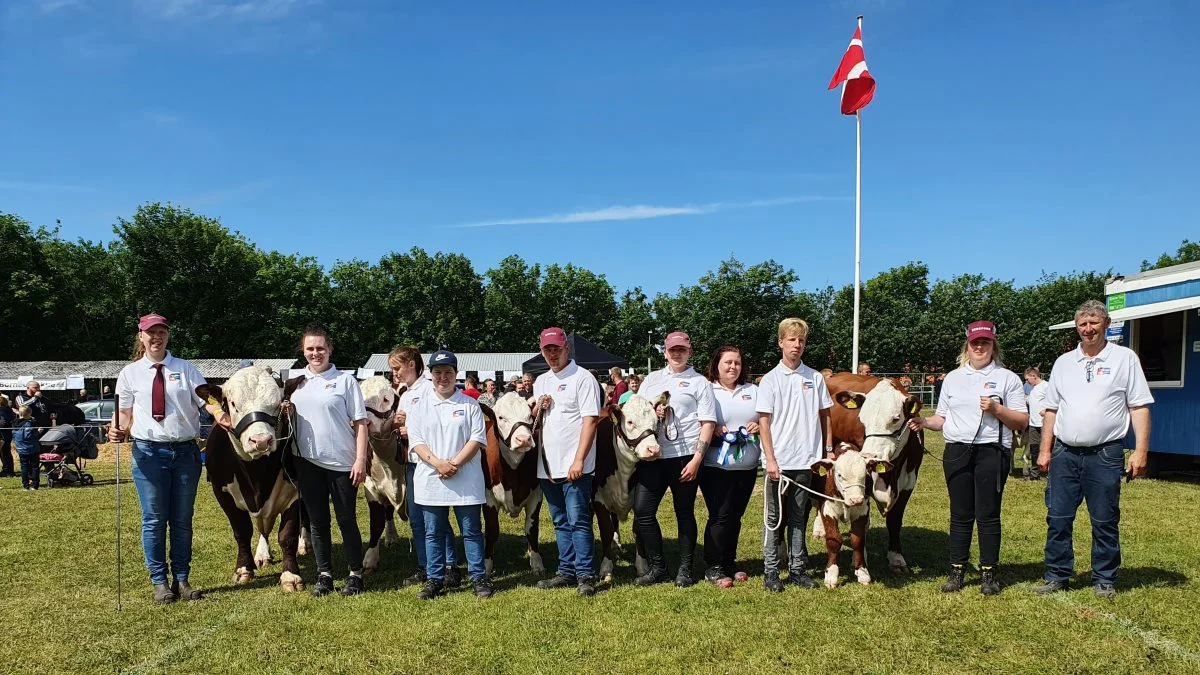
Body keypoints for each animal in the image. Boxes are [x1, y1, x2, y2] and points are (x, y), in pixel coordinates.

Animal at [196, 365, 304, 590]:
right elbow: (242, 531)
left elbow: (287, 535)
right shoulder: (222, 492)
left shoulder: (295, 492)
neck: (256, 476)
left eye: (278, 404)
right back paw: (262, 554)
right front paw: (244, 569)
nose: (261, 440)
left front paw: (291, 576)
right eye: (232, 404)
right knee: (262, 528)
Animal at [480, 391, 547, 576]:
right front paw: (486, 566)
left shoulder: (536, 494)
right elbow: (491, 530)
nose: (523, 439)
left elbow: (531, 528)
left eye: (530, 416)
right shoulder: (488, 497)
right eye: (501, 417)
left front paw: (536, 562)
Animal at [811, 441, 897, 583]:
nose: (856, 499)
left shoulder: (862, 511)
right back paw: (818, 531)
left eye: (865, 475)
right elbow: (833, 540)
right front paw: (831, 575)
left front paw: (862, 571)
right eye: (839, 475)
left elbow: (858, 540)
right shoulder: (828, 509)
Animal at [825, 369, 926, 569]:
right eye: (862, 418)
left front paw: (896, 557)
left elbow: (894, 520)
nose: (869, 455)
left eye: (895, 418)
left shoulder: (909, 481)